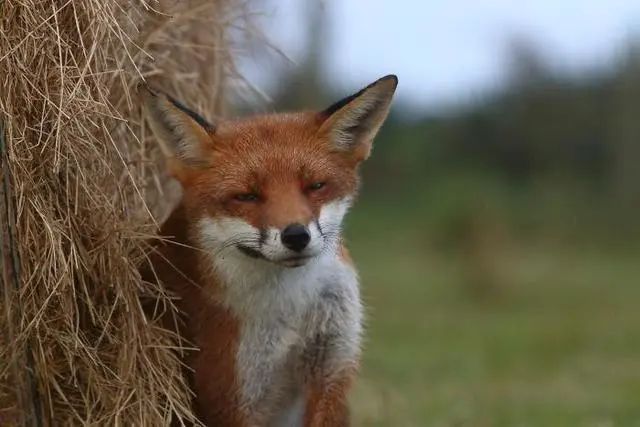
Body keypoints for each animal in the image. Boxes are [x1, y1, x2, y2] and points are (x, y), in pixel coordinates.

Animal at [141, 75, 396, 426]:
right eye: (247, 196)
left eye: (315, 186)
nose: (296, 236)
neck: (292, 307)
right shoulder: (231, 395)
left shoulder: (332, 371)